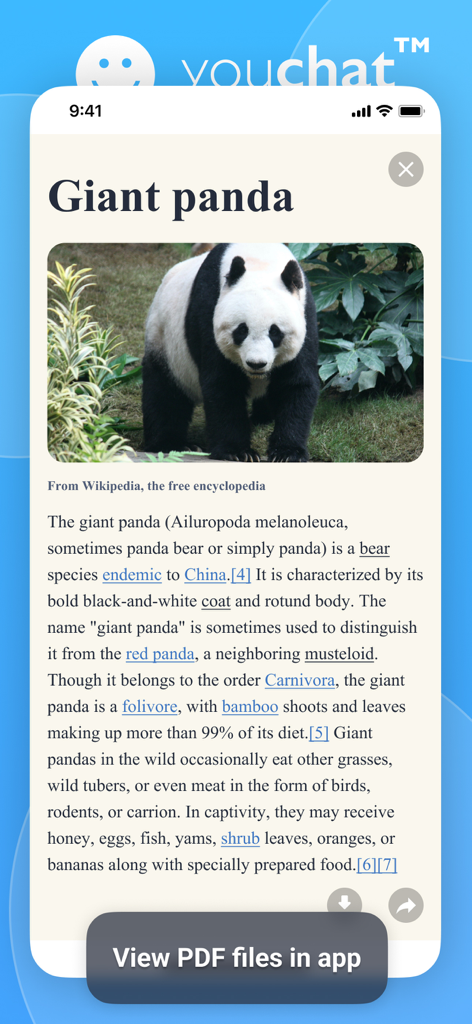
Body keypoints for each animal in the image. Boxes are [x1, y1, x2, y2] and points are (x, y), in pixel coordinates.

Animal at [142, 243, 319, 462]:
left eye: (275, 332)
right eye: (242, 330)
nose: (256, 364)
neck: (260, 259)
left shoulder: (306, 315)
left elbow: (295, 384)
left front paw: (287, 452)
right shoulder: (209, 309)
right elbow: (223, 385)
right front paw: (238, 452)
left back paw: (262, 418)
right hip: (165, 340)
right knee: (165, 392)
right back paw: (171, 443)